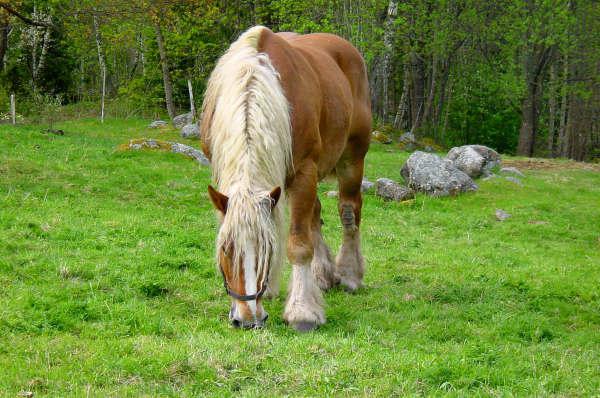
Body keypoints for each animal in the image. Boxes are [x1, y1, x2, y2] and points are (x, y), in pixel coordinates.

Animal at [200, 24, 370, 330]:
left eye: (265, 248)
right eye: (226, 249)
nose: (248, 319)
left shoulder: (303, 172)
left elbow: (299, 244)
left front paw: (302, 311)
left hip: (352, 159)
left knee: (349, 212)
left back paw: (350, 273)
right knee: (315, 214)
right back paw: (322, 274)